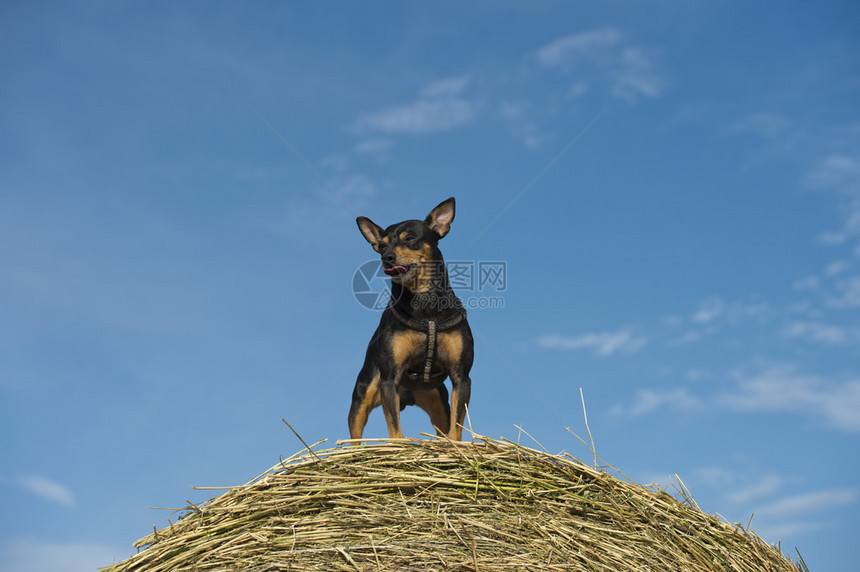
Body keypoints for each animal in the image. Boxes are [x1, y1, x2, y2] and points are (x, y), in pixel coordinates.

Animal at [346, 198, 474, 442]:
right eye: (382, 245)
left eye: (410, 238)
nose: (387, 258)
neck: (424, 302)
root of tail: (409, 396)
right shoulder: (389, 378)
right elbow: (395, 430)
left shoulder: (461, 377)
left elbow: (456, 427)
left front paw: (456, 446)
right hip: (363, 394)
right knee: (354, 438)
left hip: (438, 401)